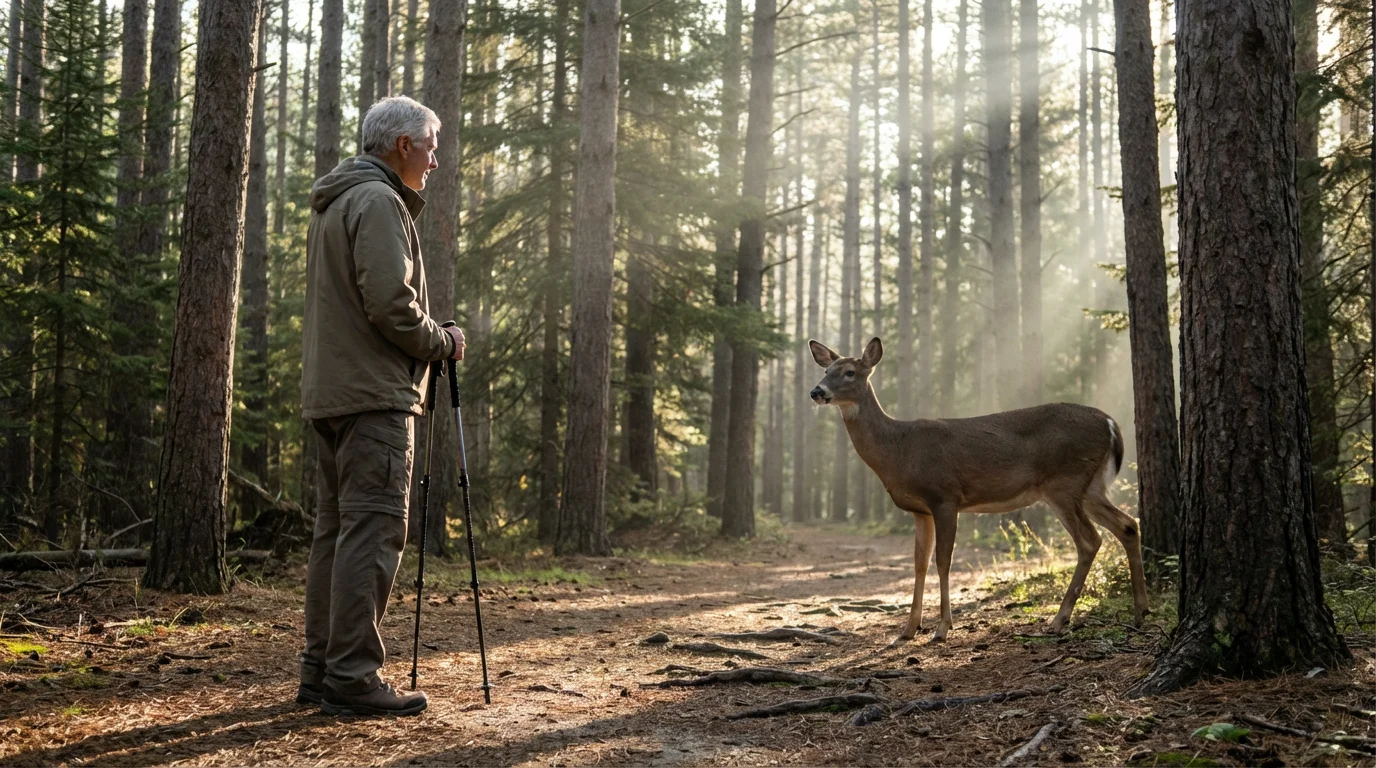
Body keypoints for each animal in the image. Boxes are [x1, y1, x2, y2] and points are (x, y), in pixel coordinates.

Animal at [808, 337, 1148, 646]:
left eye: (850, 372)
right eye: (826, 369)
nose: (817, 392)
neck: (897, 449)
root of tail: (1110, 423)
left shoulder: (945, 496)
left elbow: (943, 561)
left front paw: (942, 629)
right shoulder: (920, 510)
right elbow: (919, 563)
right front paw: (907, 630)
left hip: (1065, 483)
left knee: (1090, 540)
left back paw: (1059, 619)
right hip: (1091, 487)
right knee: (1128, 525)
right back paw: (1141, 612)